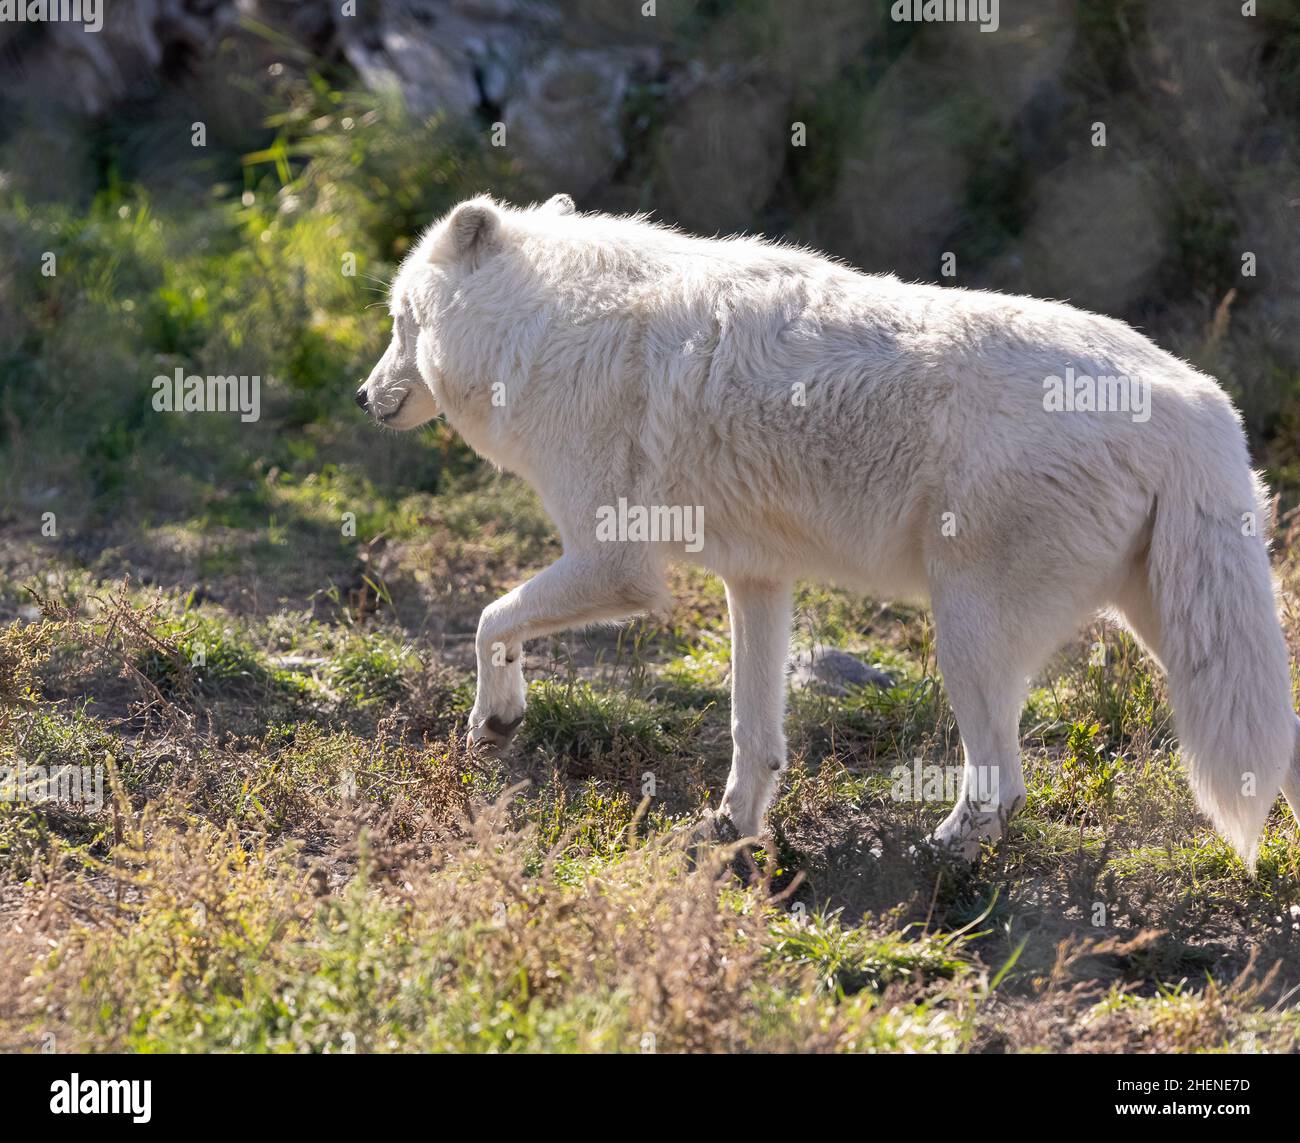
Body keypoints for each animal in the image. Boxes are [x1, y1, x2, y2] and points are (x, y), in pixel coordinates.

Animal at [361, 195, 1300, 858]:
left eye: (400, 320)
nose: (366, 397)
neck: (545, 325)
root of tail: (1197, 402)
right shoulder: (757, 579)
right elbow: (754, 732)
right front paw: (731, 830)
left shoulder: (616, 564)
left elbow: (490, 618)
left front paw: (495, 720)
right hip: (1174, 635)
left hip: (967, 632)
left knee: (1003, 783)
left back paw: (941, 856)